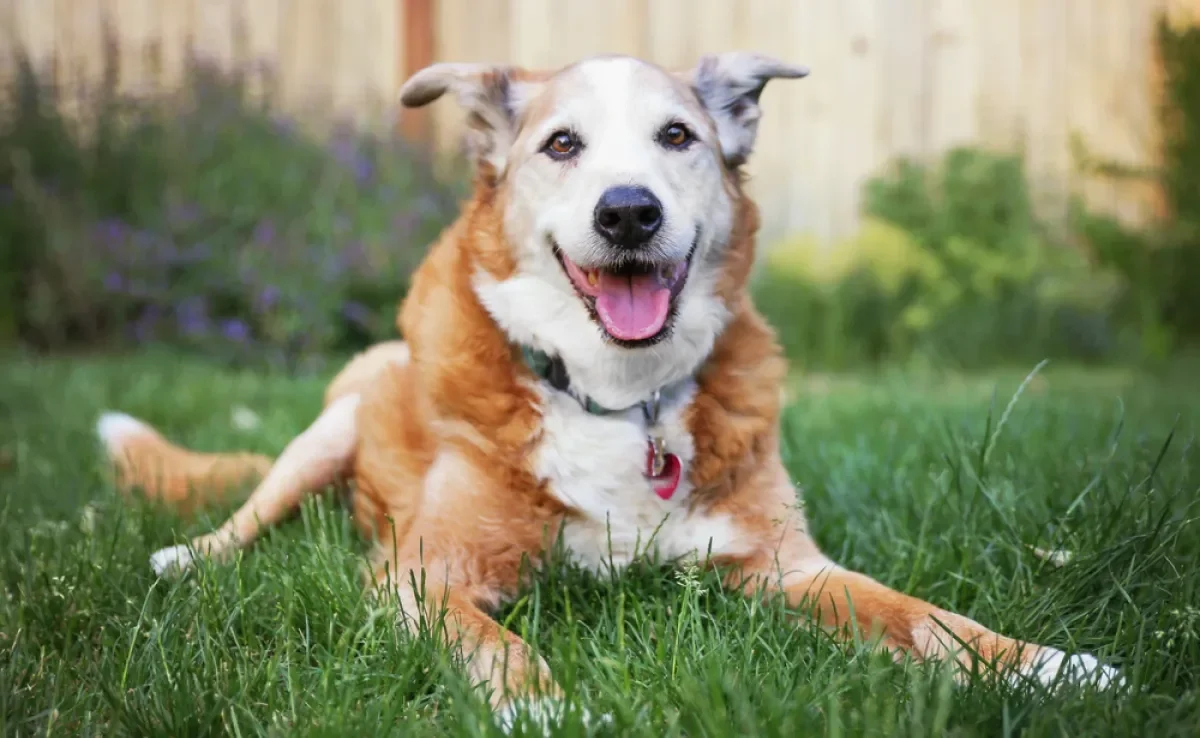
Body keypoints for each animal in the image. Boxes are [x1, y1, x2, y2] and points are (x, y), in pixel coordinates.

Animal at [98, 53, 1118, 734]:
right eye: (562, 144)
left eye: (678, 137)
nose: (628, 211)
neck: (622, 400)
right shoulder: (423, 578)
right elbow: (494, 642)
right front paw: (541, 708)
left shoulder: (786, 568)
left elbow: (923, 617)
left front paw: (1046, 665)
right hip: (330, 429)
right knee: (251, 511)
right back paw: (187, 558)